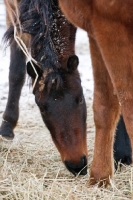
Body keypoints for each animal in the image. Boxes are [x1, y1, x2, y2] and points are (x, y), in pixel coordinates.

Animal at [0, 0, 132, 180]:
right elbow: (16, 71)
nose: (77, 165)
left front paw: (121, 154)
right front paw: (7, 125)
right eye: (41, 107)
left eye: (80, 99)